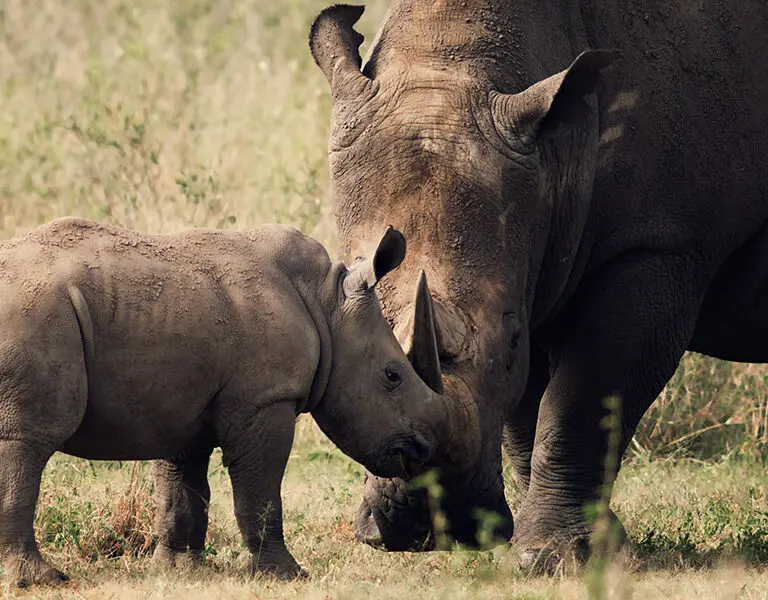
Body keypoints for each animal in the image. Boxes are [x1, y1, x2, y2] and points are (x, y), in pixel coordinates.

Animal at [0, 217, 476, 586]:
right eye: (392, 376)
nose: (424, 449)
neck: (326, 307)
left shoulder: (178, 400)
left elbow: (182, 488)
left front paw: (180, 572)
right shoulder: (265, 399)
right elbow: (260, 489)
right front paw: (286, 575)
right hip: (35, 319)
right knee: (26, 442)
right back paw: (41, 580)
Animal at [310, 1, 768, 563]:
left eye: (509, 341)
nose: (424, 526)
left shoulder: (660, 242)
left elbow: (583, 396)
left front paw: (554, 556)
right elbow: (526, 420)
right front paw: (578, 547)